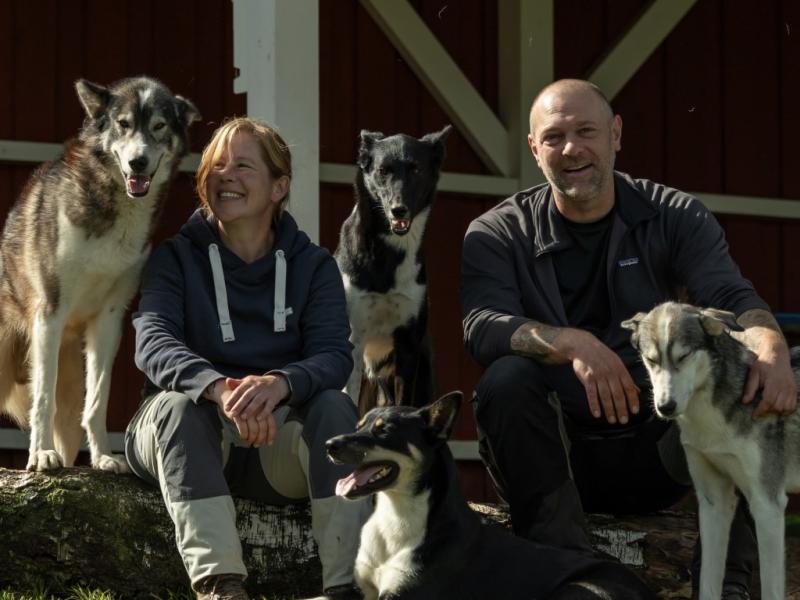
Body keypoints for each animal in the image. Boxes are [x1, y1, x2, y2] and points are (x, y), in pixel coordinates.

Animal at [334, 126, 454, 414]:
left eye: (416, 169)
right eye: (383, 171)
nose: (398, 209)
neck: (388, 253)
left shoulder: (408, 347)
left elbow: (403, 403)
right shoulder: (353, 340)